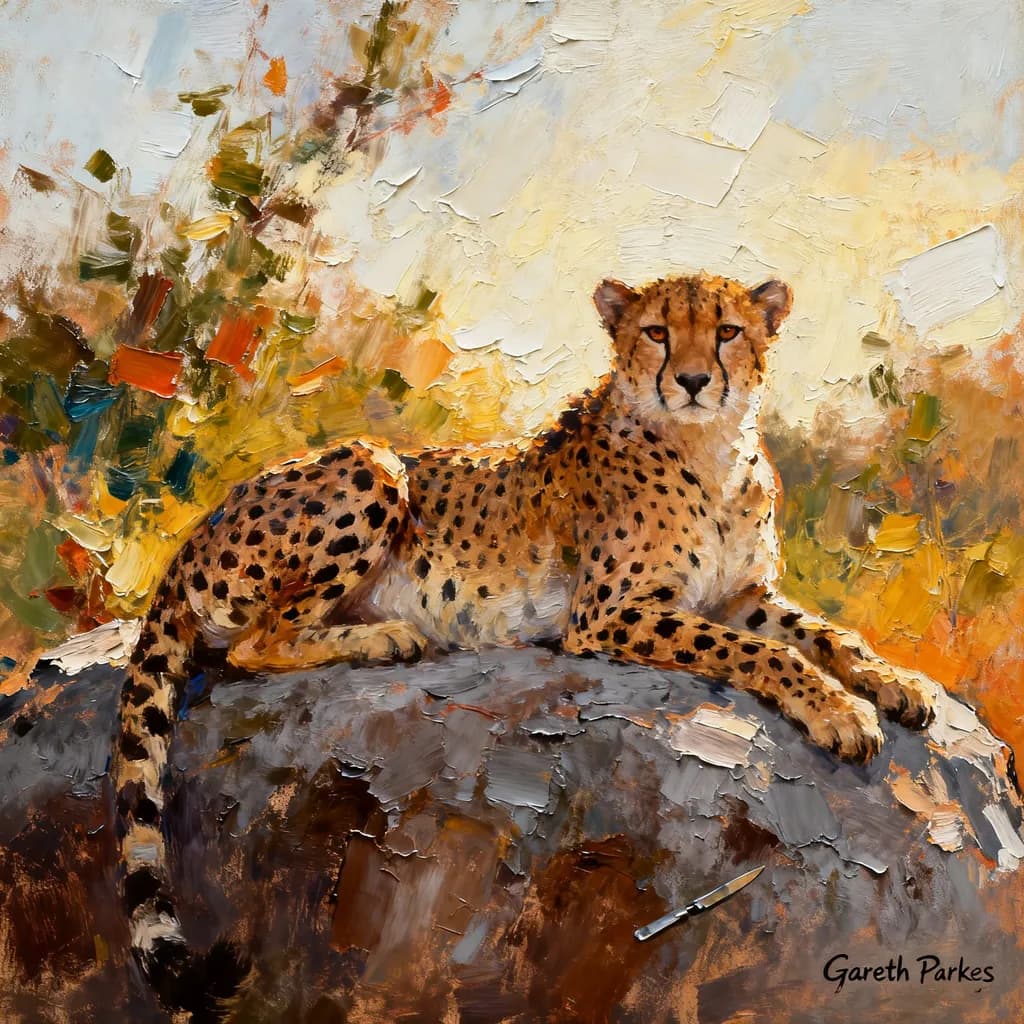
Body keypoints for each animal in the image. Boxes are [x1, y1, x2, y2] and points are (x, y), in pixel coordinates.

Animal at [113, 271, 936, 1018]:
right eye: (657, 332)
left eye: (727, 331)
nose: (695, 380)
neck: (711, 448)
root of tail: (197, 531)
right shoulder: (610, 615)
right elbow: (761, 652)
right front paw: (842, 713)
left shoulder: (743, 597)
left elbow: (822, 632)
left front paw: (897, 685)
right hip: (374, 466)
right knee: (254, 644)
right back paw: (386, 636)